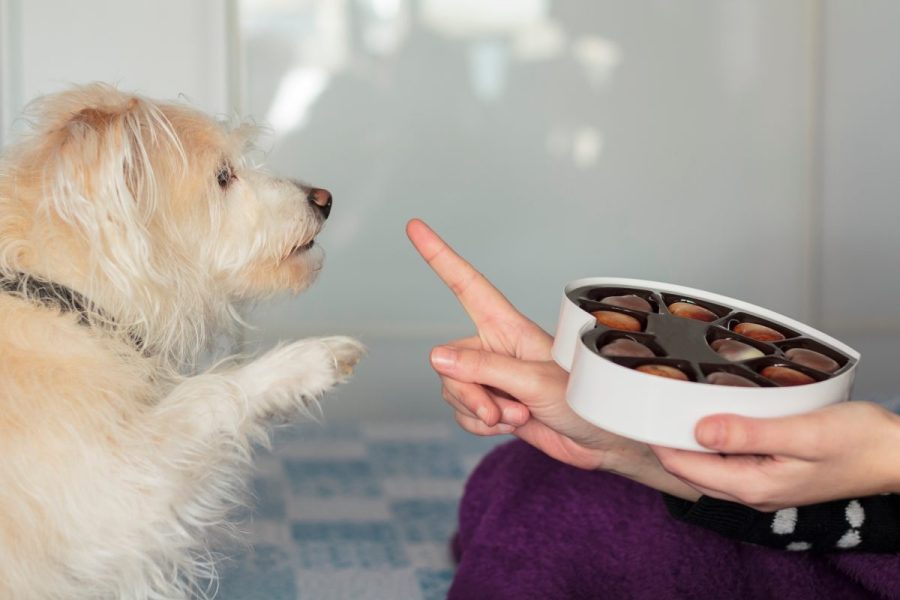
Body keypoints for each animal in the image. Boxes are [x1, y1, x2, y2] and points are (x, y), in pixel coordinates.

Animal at [0, 85, 366, 600]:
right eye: (223, 177)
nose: (324, 198)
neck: (62, 296)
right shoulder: (114, 494)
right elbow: (207, 394)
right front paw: (308, 362)